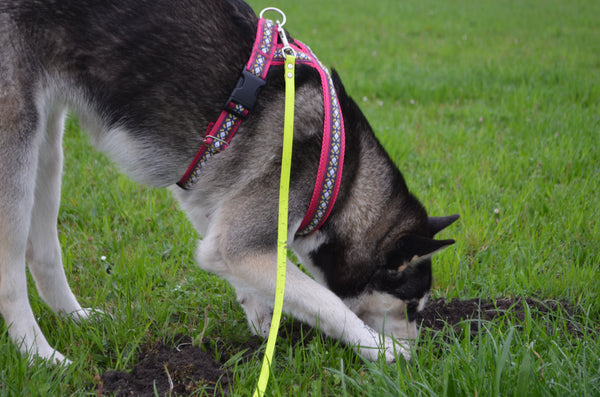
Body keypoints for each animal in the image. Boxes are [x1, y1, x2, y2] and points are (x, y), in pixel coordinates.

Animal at [1, 0, 460, 362]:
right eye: (412, 306)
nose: (419, 352)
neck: (337, 182)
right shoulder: (240, 240)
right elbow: (327, 302)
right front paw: (380, 351)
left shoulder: (213, 205)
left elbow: (257, 279)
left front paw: (262, 321)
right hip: (16, 139)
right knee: (11, 273)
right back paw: (40, 355)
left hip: (48, 139)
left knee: (42, 249)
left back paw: (75, 318)